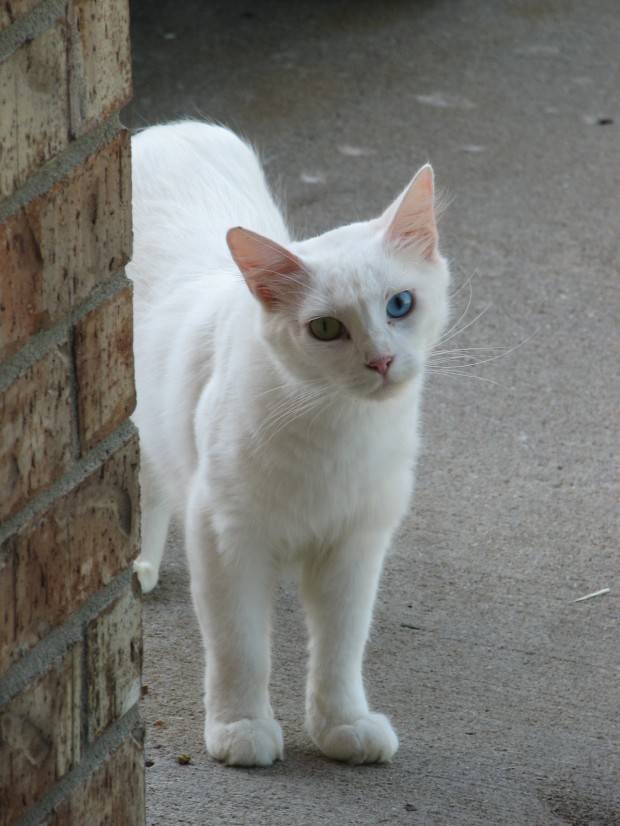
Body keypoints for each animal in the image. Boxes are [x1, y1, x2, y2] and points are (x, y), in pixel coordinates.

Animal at [131, 120, 450, 768]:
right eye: (325, 328)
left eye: (399, 304)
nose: (381, 361)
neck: (336, 429)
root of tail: (165, 128)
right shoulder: (227, 538)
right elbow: (241, 647)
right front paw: (241, 729)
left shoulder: (354, 546)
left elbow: (339, 650)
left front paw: (342, 727)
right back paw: (141, 567)